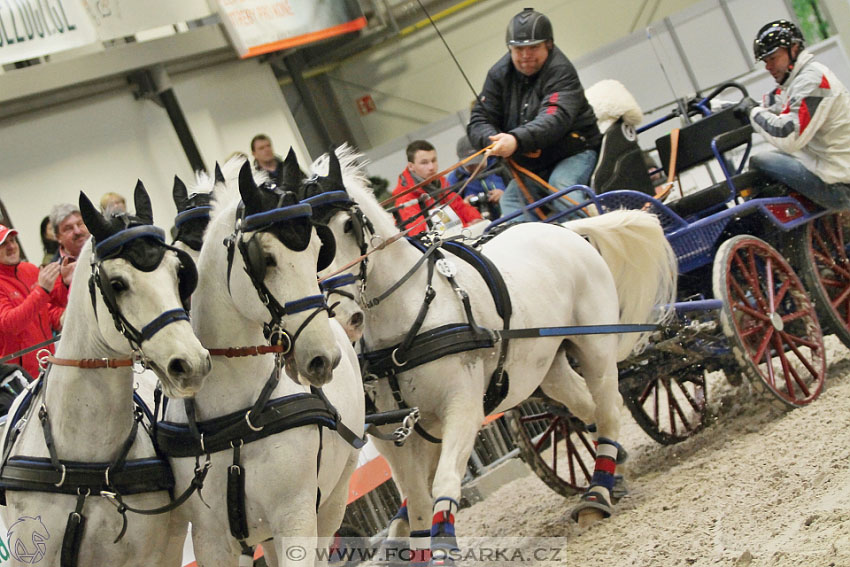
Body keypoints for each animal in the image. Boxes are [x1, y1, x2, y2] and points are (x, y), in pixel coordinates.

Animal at [163, 162, 364, 564]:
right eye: (265, 259)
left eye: (318, 251)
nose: (323, 358)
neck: (239, 417)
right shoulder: (211, 540)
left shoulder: (296, 518)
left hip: (333, 498)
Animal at [312, 146, 676, 560]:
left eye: (347, 226)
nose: (341, 315)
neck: (409, 310)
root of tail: (568, 231)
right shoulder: (393, 432)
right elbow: (415, 498)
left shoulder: (462, 407)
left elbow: (444, 482)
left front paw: (442, 548)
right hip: (547, 366)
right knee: (589, 408)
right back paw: (613, 469)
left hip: (594, 346)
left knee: (610, 408)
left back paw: (597, 495)